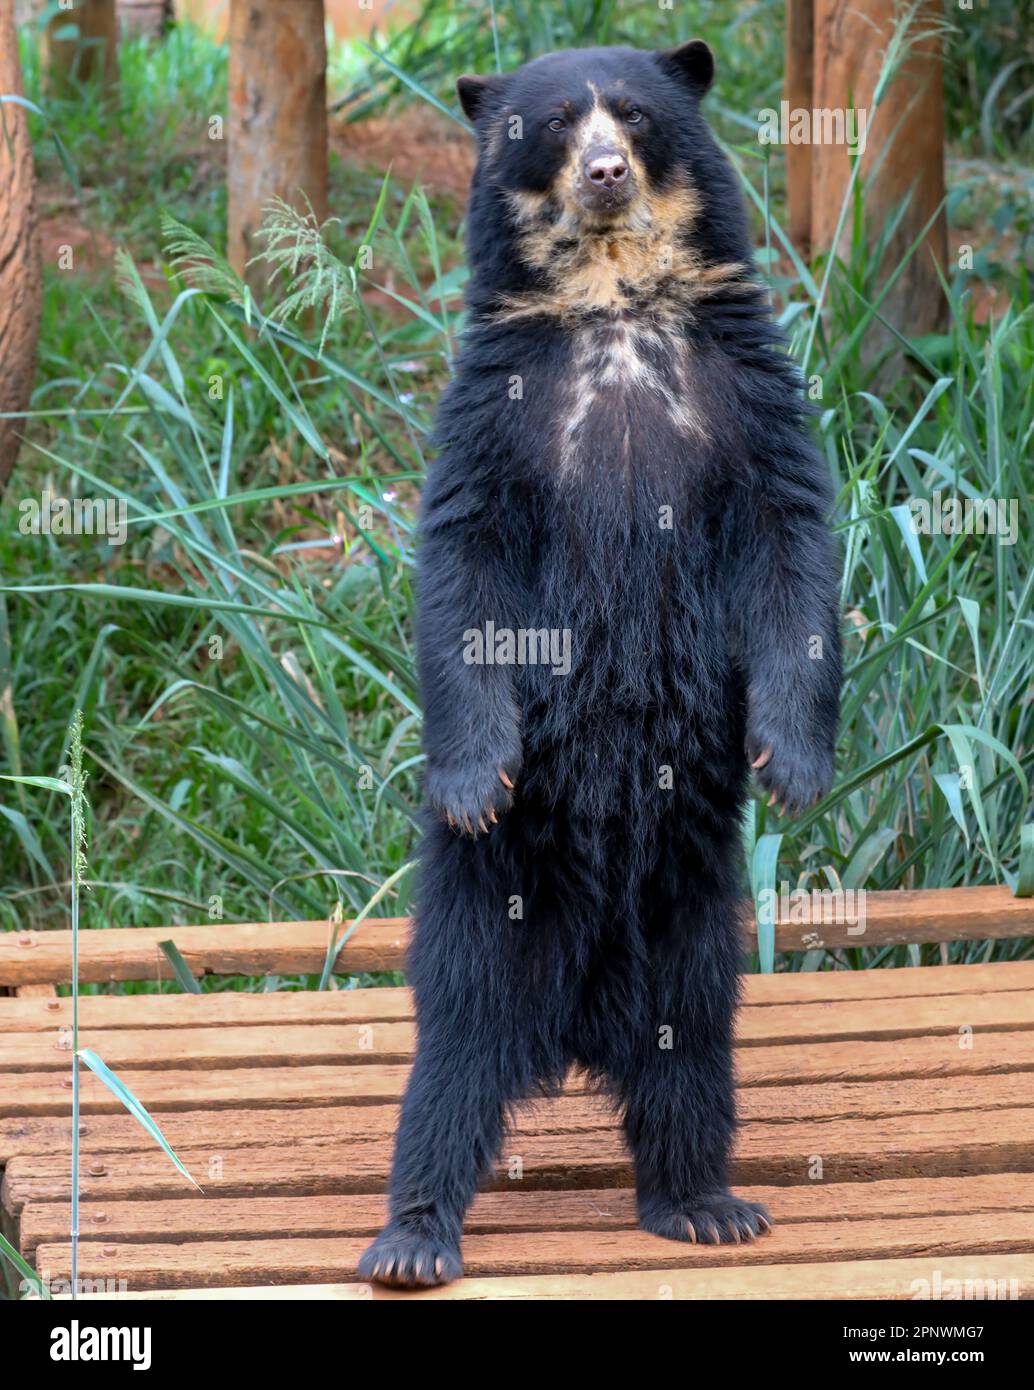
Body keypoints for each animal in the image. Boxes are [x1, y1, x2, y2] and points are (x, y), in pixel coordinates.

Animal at [358, 41, 842, 1288]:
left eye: (629, 112)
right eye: (546, 127)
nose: (606, 171)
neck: (615, 302)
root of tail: (577, 1029)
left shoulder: (743, 391)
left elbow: (791, 545)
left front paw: (791, 767)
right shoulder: (496, 410)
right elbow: (463, 571)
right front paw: (473, 782)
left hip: (696, 929)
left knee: (691, 1062)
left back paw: (702, 1201)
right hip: (483, 924)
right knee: (450, 1065)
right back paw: (412, 1234)